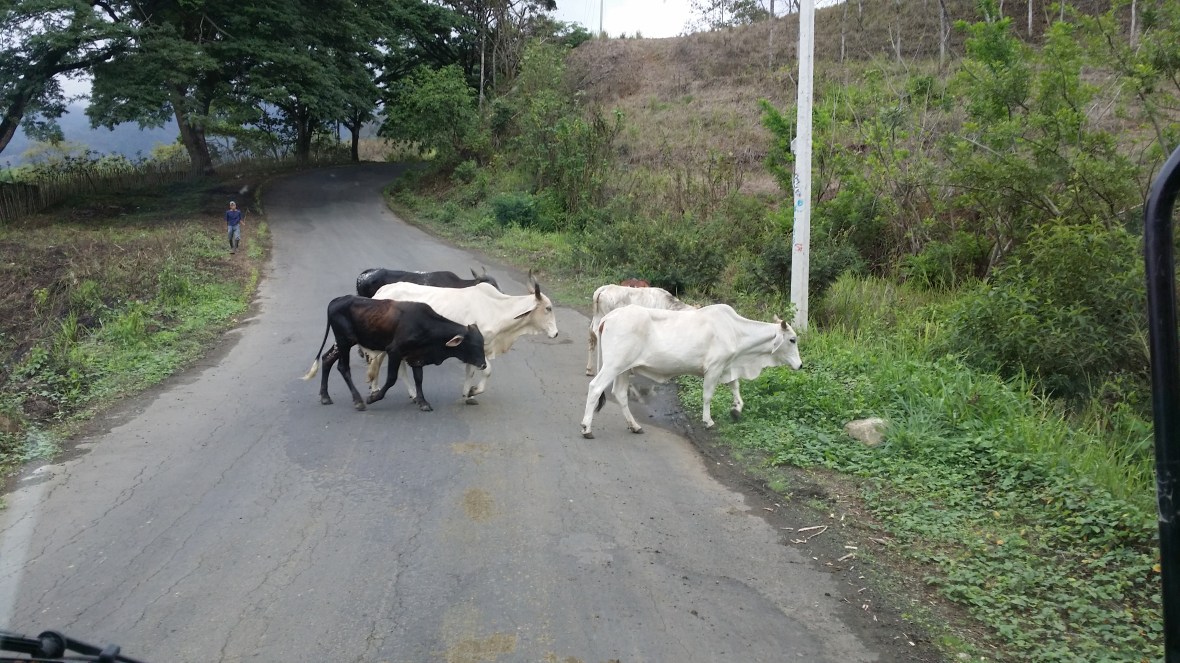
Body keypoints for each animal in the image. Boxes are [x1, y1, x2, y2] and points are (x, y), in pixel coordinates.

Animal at [302, 295, 486, 412]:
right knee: (343, 367)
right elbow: (391, 379)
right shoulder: (394, 352)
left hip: (343, 343)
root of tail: (337, 300)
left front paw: (423, 402)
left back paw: (325, 396)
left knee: (327, 359)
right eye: (473, 344)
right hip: (344, 341)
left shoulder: (416, 357)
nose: (483, 364)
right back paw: (358, 401)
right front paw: (373, 398)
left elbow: (419, 379)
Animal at [366, 272, 559, 404]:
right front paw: (473, 391)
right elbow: (487, 370)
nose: (556, 333)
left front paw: (467, 393)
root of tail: (382, 290)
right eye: (548, 308)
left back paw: (412, 394)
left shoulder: (476, 350)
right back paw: (375, 390)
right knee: (376, 362)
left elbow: (471, 371)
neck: (496, 308)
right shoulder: (477, 347)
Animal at [580, 304, 802, 439]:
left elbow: (735, 386)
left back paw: (634, 426)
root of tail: (609, 316)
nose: (800, 365)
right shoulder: (714, 368)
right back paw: (586, 428)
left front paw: (737, 409)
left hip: (624, 368)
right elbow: (708, 396)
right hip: (613, 365)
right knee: (595, 387)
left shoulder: (727, 367)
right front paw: (708, 421)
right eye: (792, 340)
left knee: (619, 394)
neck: (736, 332)